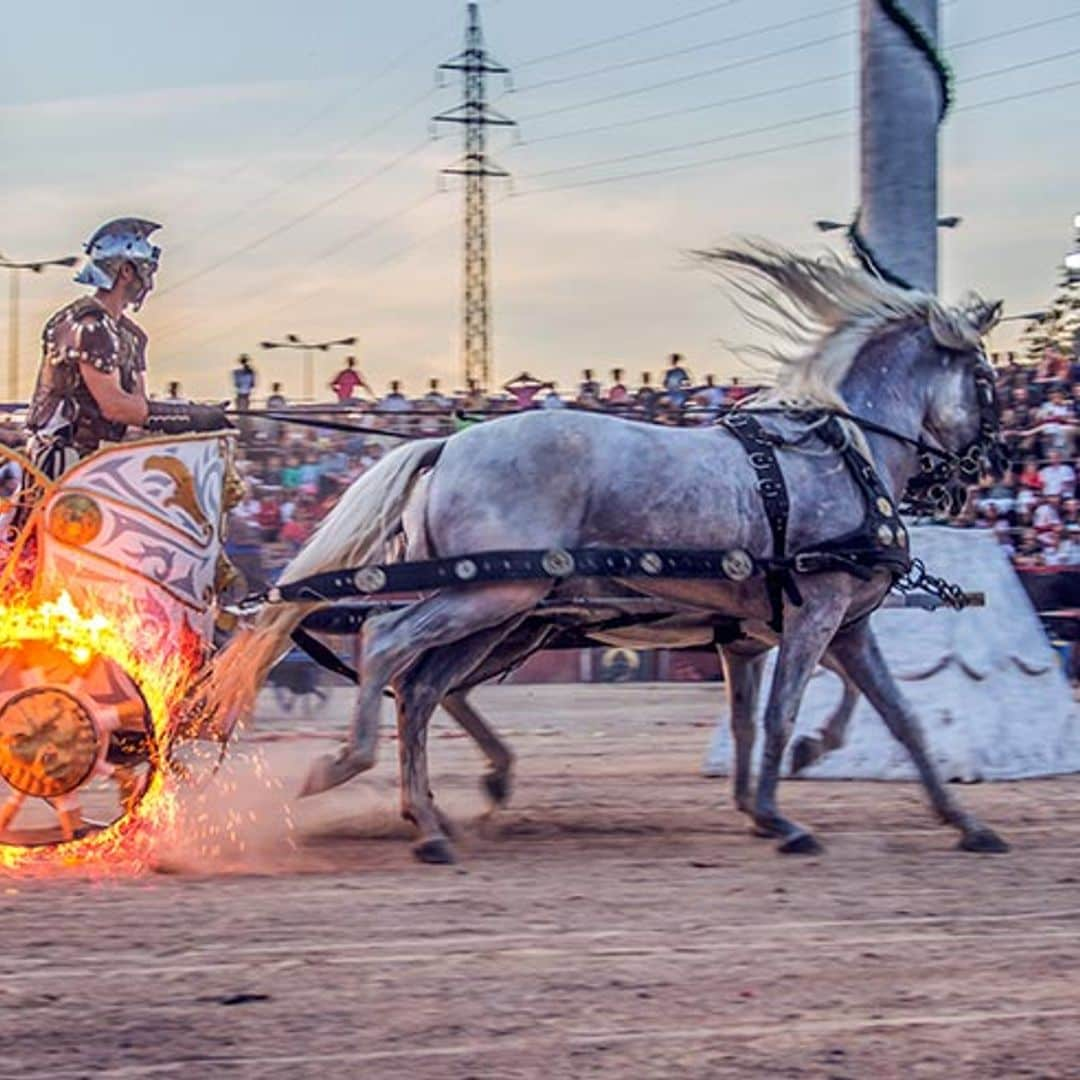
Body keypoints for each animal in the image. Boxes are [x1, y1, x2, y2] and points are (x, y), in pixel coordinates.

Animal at [206, 245, 1006, 859]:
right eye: (986, 379)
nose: (981, 470)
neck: (843, 452)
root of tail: (447, 444)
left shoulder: (821, 629)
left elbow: (891, 718)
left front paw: (962, 822)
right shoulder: (817, 613)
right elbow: (783, 715)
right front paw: (784, 816)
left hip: (499, 609)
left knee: (425, 687)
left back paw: (430, 814)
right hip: (491, 596)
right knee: (385, 644)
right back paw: (356, 771)